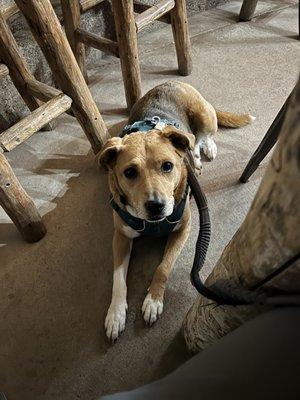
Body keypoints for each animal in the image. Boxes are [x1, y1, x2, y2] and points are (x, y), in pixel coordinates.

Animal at [98, 81, 253, 340]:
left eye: (168, 166)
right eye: (129, 172)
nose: (156, 206)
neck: (152, 224)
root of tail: (173, 82)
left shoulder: (184, 229)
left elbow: (163, 267)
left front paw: (153, 300)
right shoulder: (120, 237)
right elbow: (118, 278)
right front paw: (116, 313)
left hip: (204, 116)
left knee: (201, 137)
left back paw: (203, 153)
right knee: (194, 142)